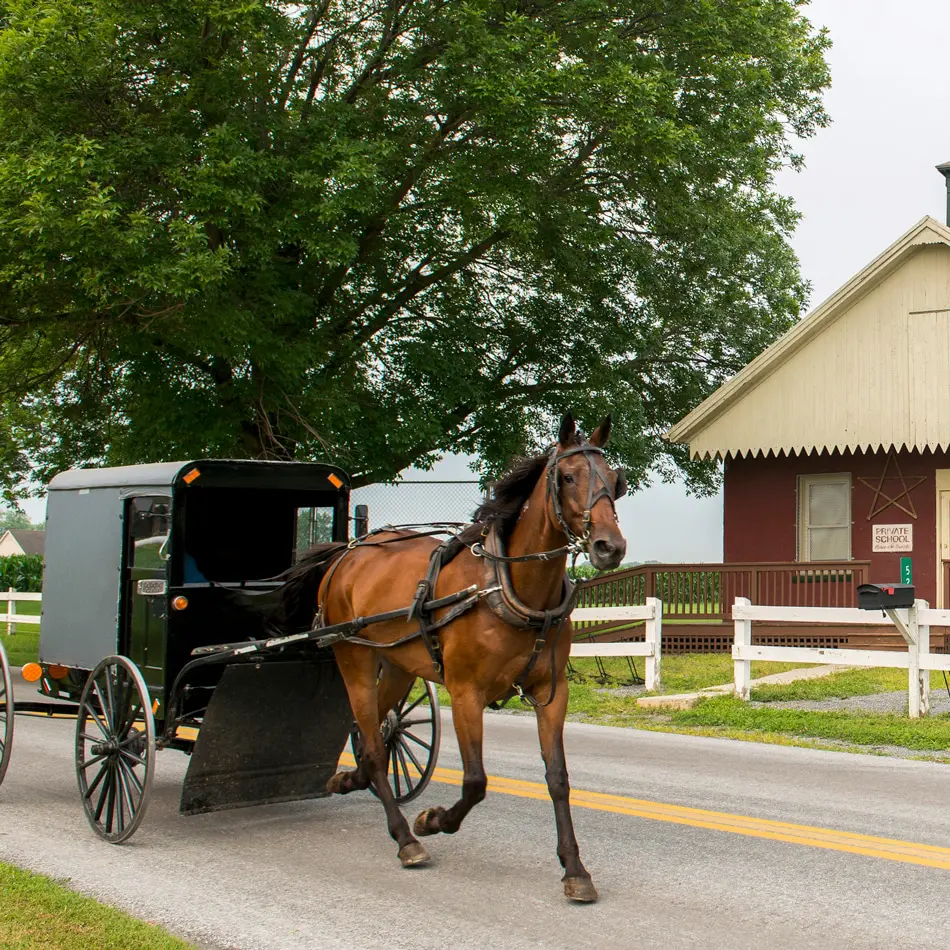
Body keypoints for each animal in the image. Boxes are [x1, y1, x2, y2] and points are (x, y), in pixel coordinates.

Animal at [278, 412, 628, 904]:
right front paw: (433, 820)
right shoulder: (465, 693)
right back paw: (406, 838)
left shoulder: (550, 692)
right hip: (355, 662)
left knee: (376, 736)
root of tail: (347, 554)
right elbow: (476, 781)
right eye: (567, 477)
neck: (509, 585)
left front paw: (575, 869)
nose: (609, 547)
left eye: (616, 482)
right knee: (372, 744)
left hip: (399, 667)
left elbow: (558, 779)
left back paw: (350, 781)